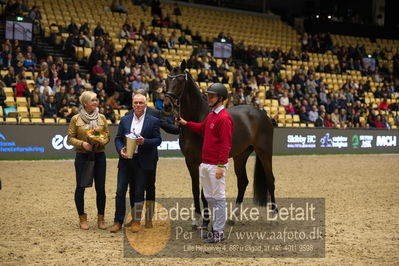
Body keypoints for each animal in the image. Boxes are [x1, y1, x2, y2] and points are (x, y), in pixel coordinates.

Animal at [164, 59, 276, 229]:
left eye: (181, 81)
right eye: (167, 80)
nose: (167, 106)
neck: (199, 119)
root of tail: (262, 114)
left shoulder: (204, 161)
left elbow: (204, 193)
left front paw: (205, 222)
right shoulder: (190, 161)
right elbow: (195, 190)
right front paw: (196, 220)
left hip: (264, 152)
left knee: (270, 179)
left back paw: (274, 213)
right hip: (240, 156)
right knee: (243, 181)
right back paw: (232, 217)